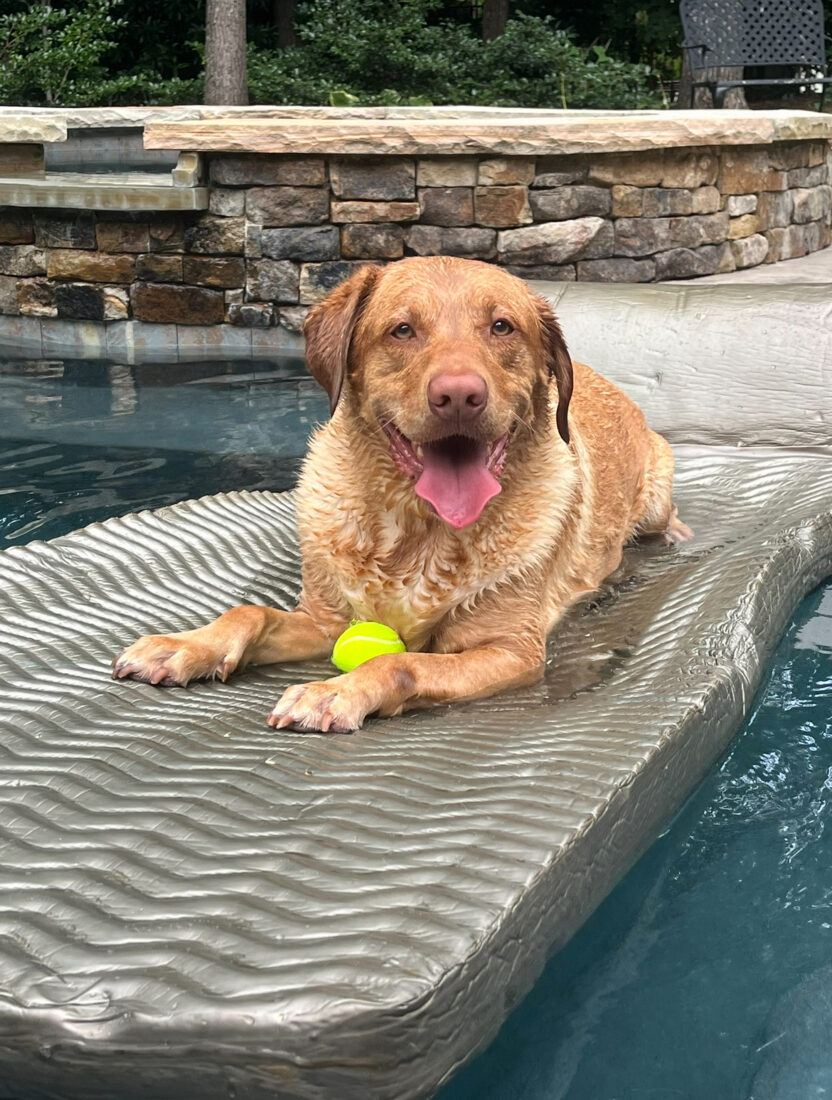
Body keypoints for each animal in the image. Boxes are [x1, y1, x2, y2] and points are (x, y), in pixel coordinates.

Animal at [113, 253, 691, 726]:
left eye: (502, 326)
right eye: (402, 330)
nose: (459, 395)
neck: (417, 528)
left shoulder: (511, 652)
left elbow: (401, 661)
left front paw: (337, 692)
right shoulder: (323, 620)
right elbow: (248, 612)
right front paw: (185, 645)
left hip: (655, 495)